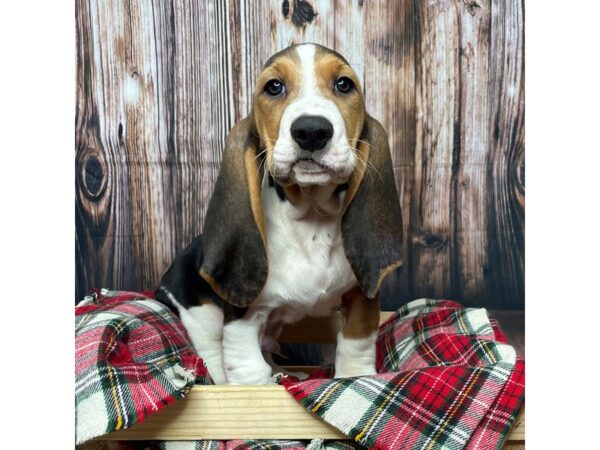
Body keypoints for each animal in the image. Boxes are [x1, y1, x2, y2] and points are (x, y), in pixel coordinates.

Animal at [157, 42, 406, 384]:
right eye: (274, 87)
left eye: (344, 84)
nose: (312, 130)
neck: (311, 218)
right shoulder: (242, 319)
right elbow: (248, 367)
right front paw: (257, 386)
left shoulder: (361, 296)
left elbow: (356, 341)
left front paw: (354, 379)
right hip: (200, 314)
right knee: (212, 356)